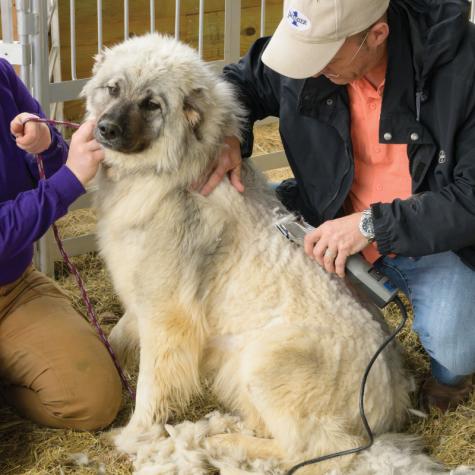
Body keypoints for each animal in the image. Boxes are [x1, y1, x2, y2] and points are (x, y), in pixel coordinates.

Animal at [81, 34, 438, 475]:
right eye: (113, 89)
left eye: (151, 104)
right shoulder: (141, 296)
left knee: (314, 452)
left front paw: (134, 436)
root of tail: (392, 401)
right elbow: (114, 339)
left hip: (265, 363)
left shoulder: (166, 318)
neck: (174, 173)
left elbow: (151, 385)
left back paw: (222, 441)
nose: (105, 129)